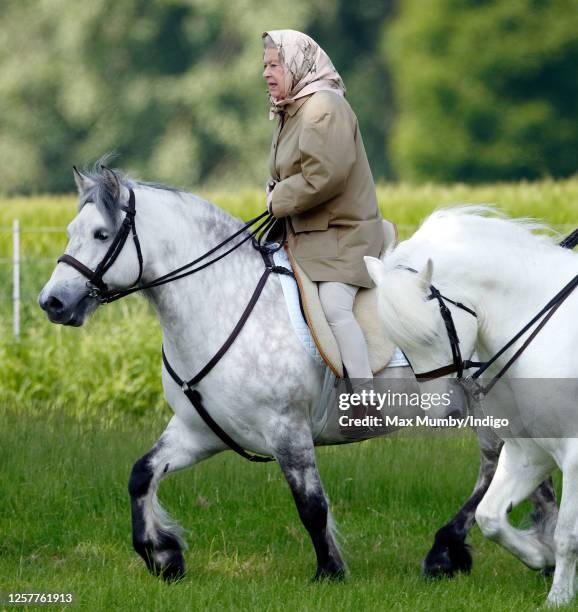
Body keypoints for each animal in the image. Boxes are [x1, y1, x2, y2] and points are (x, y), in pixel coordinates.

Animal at [38, 166, 552, 584]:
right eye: (71, 231)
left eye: (101, 234)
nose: (53, 303)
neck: (222, 301)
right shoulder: (197, 432)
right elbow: (141, 475)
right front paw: (162, 557)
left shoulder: (287, 429)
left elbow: (311, 505)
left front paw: (330, 572)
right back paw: (534, 547)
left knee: (495, 466)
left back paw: (449, 552)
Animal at [366, 207, 572, 608]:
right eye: (401, 344)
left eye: (430, 335)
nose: (442, 414)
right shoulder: (531, 450)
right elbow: (490, 517)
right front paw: (541, 555)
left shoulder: (573, 453)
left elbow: (568, 535)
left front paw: (558, 598)